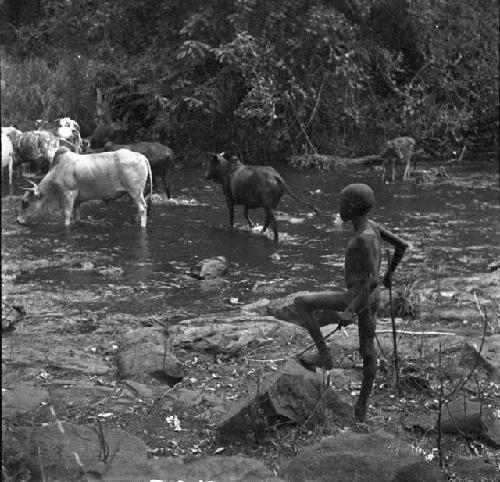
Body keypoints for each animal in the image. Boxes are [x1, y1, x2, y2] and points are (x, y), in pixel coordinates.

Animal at [17, 148, 152, 229]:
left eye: (25, 202)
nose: (18, 220)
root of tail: (141, 156)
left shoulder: (69, 194)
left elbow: (67, 215)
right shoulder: (78, 201)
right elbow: (76, 216)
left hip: (135, 192)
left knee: (143, 209)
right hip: (139, 193)